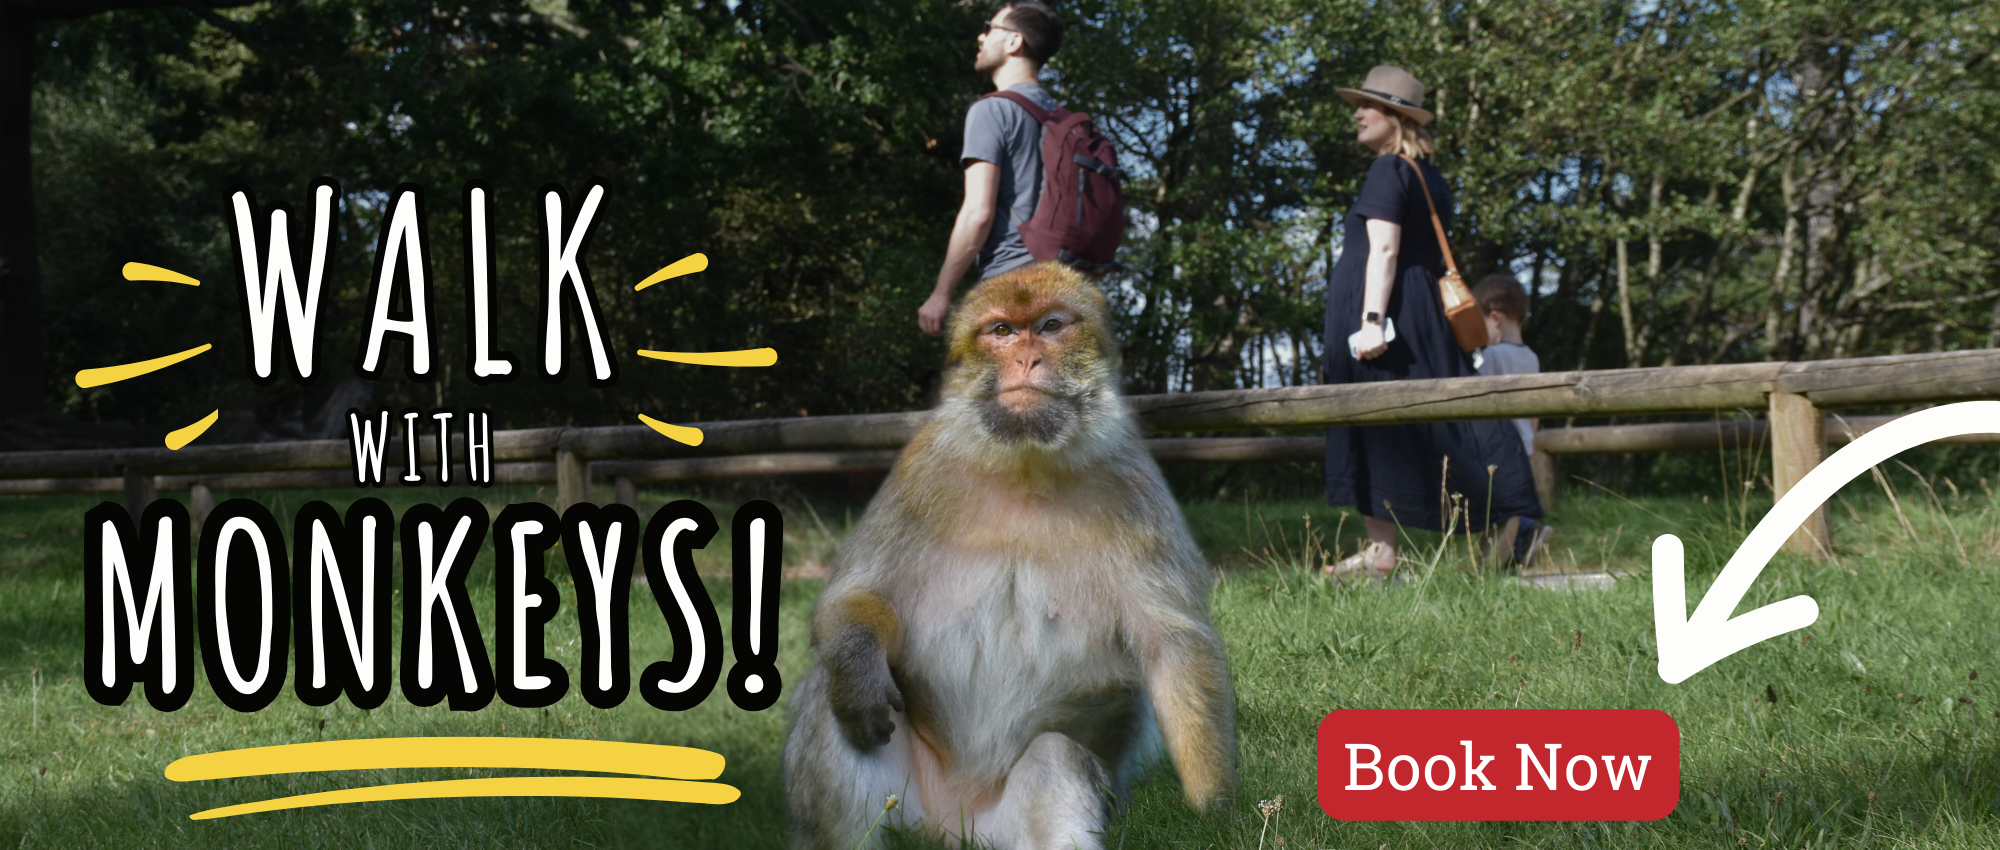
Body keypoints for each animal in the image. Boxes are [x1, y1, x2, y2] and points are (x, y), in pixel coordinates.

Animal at [782, 263, 1238, 850]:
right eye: (1002, 331)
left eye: (1050, 326)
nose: (1027, 359)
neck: (1025, 465)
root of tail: (950, 823)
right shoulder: (920, 473)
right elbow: (854, 594)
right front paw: (858, 670)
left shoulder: (1134, 485)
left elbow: (1174, 645)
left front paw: (1215, 809)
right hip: (906, 807)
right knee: (830, 701)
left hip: (996, 825)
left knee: (1054, 758)